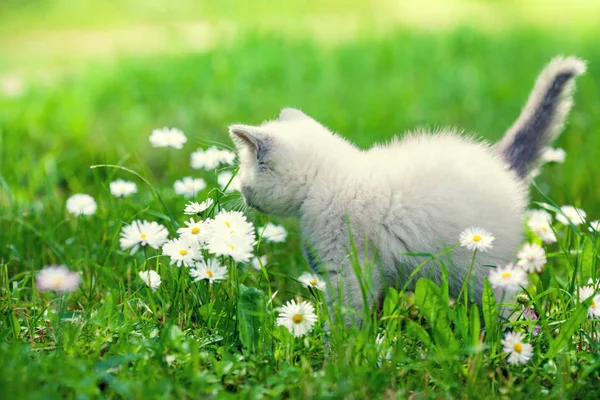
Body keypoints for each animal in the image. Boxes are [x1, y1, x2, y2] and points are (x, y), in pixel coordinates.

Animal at [227, 56, 584, 318]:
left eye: (245, 175)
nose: (241, 192)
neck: (326, 181)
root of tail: (502, 164)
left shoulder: (347, 265)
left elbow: (346, 316)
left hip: (483, 270)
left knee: (507, 302)